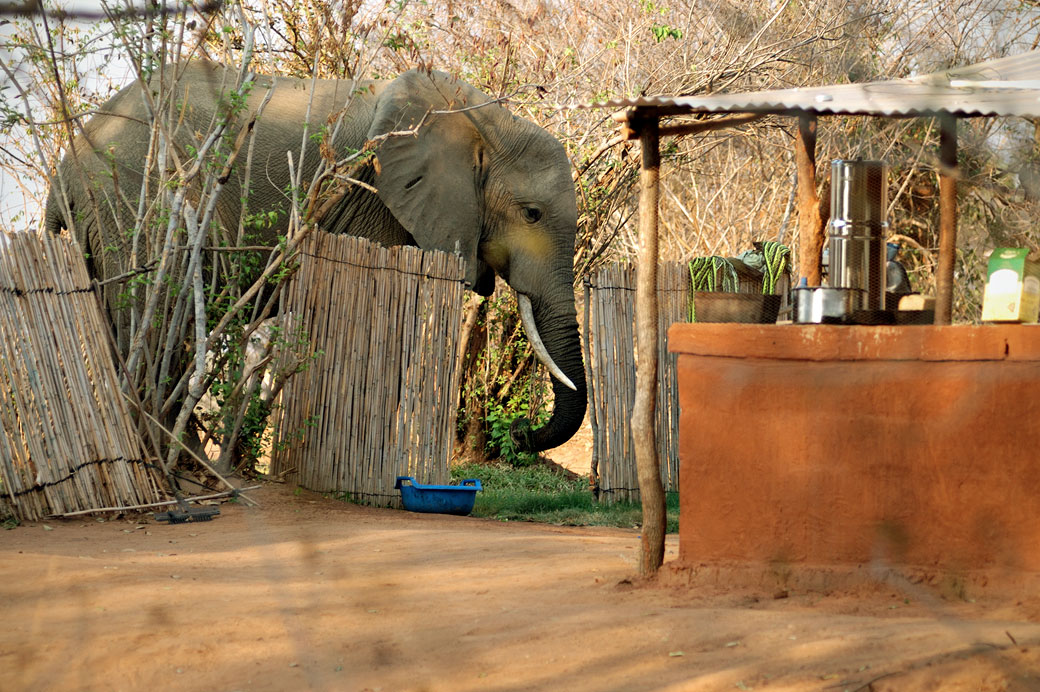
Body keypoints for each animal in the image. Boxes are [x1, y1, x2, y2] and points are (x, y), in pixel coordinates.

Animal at [46, 62, 586, 453]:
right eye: (532, 214)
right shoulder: (373, 197)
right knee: (153, 319)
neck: (483, 119)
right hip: (136, 203)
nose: (515, 431)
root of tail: (64, 171)